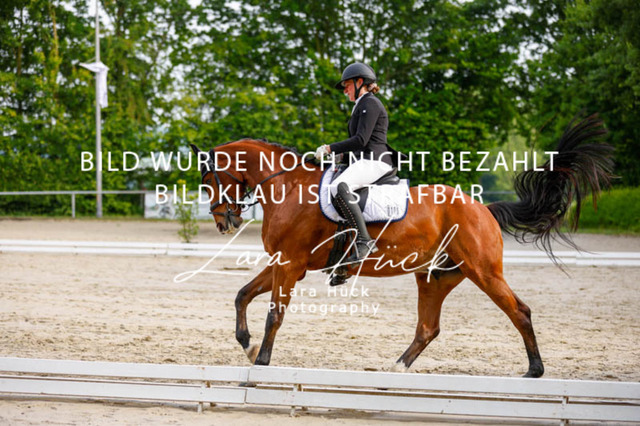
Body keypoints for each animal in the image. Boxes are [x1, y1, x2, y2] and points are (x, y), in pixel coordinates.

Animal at [190, 114, 613, 378]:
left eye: (210, 179)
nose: (223, 222)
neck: (289, 187)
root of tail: (483, 208)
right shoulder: (284, 262)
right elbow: (243, 294)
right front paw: (246, 345)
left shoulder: (291, 265)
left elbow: (274, 314)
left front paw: (261, 361)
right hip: (435, 276)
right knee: (428, 327)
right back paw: (397, 368)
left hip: (483, 271)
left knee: (519, 311)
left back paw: (534, 371)